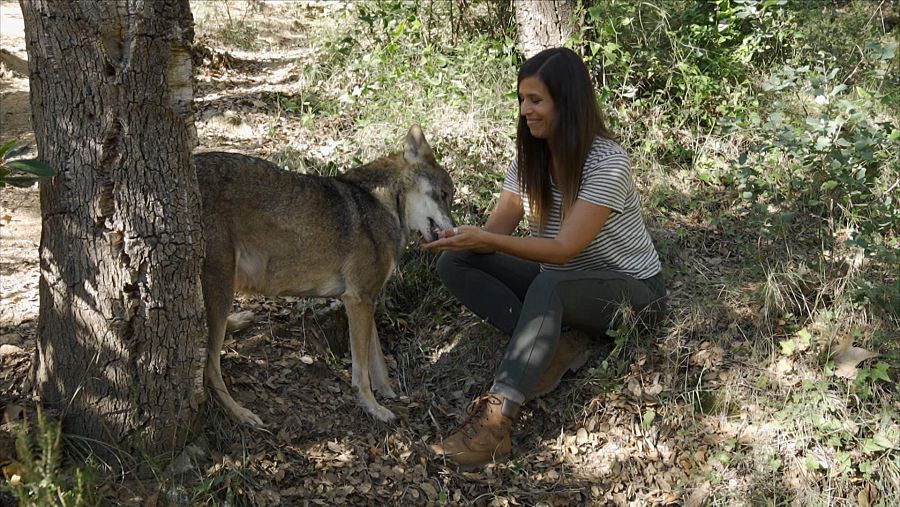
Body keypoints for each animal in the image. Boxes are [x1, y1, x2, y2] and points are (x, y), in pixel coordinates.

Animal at [195, 125, 454, 426]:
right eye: (444, 195)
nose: (455, 229)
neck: (385, 204)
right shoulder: (358, 299)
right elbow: (361, 370)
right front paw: (372, 406)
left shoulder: (366, 300)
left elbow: (377, 360)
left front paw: (388, 394)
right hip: (222, 286)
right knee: (210, 366)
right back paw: (240, 413)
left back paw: (239, 322)